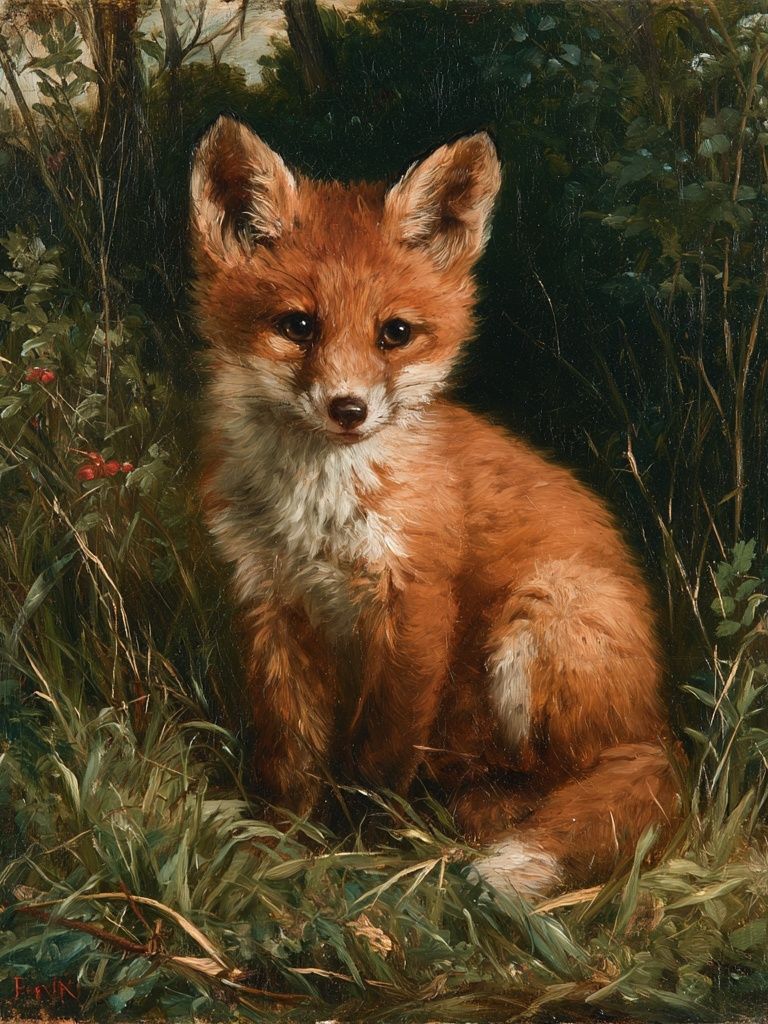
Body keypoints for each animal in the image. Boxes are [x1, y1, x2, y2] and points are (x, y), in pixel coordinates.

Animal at [189, 116, 683, 899]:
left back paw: (480, 817)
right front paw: (281, 844)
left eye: (395, 333)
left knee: (567, 775)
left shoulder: (416, 600)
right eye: (298, 326)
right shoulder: (270, 598)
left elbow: (376, 753)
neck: (318, 512)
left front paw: (357, 845)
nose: (349, 409)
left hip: (542, 614)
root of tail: (660, 728)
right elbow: (288, 751)